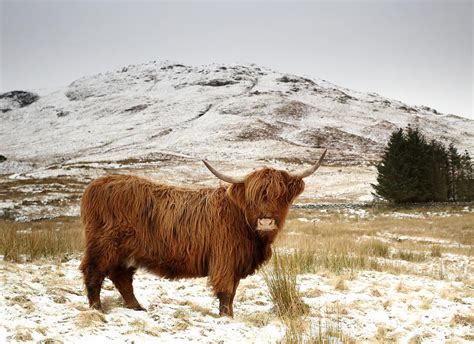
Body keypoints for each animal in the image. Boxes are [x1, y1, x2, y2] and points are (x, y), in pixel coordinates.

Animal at [80, 150, 326, 318]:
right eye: (253, 196)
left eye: (280, 195)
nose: (266, 221)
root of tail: (95, 184)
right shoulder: (225, 260)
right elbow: (226, 292)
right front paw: (227, 318)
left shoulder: (236, 263)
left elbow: (233, 293)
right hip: (104, 246)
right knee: (94, 272)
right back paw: (97, 309)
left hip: (125, 252)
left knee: (121, 277)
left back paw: (137, 307)